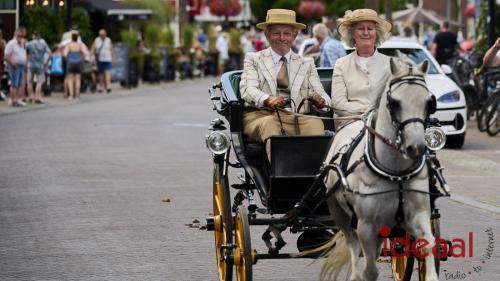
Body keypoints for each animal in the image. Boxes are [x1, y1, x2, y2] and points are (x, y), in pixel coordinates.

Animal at [316, 57, 438, 280]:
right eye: (395, 103)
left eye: (429, 102)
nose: (416, 147)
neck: (395, 173)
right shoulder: (366, 225)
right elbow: (370, 270)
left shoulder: (418, 214)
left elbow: (428, 244)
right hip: (339, 213)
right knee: (353, 246)